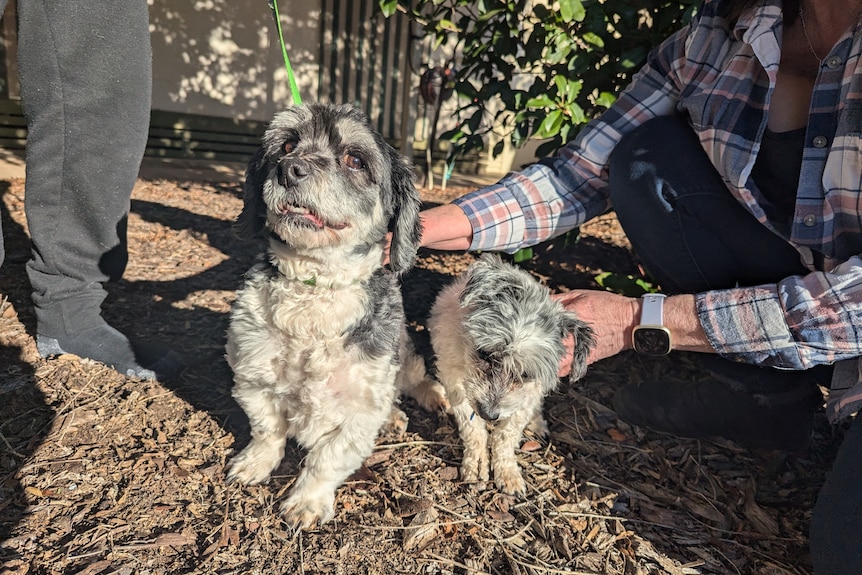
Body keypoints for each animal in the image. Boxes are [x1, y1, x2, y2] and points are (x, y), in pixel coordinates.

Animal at [224, 104, 446, 532]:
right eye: (286, 146)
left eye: (355, 160)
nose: (290, 169)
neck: (314, 292)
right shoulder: (253, 379)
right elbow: (267, 430)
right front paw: (254, 463)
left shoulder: (361, 408)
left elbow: (327, 459)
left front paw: (307, 501)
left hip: (402, 351)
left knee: (414, 379)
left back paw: (429, 398)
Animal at [430, 254, 596, 498]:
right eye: (484, 353)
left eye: (525, 373)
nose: (488, 414)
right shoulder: (453, 376)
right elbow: (472, 427)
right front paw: (477, 464)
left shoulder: (527, 394)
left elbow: (506, 435)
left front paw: (507, 473)